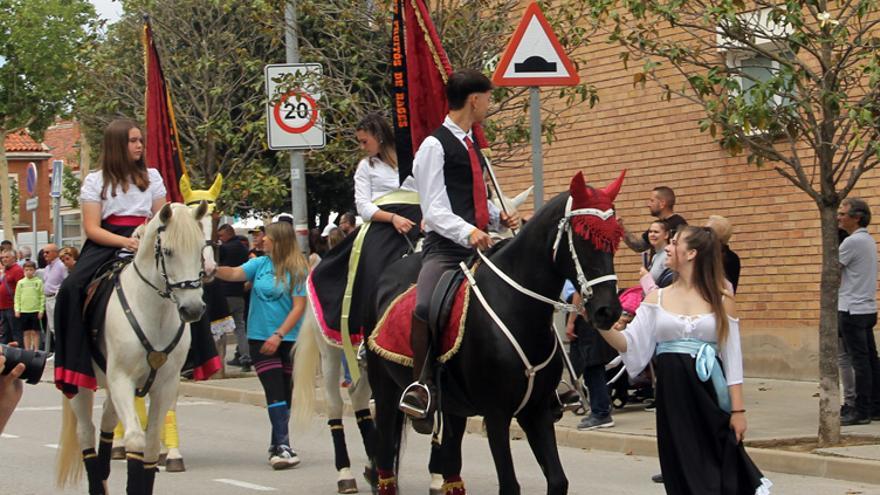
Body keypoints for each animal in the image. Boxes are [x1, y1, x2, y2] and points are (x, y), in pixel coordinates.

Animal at [56, 202, 211, 495]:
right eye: (168, 251)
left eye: (200, 248)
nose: (193, 309)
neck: (154, 312)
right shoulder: (121, 379)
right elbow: (136, 440)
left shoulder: (166, 383)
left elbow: (149, 444)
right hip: (81, 384)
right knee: (86, 431)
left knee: (107, 419)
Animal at [292, 186, 532, 495]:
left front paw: (438, 475)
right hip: (332, 354)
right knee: (335, 404)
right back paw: (346, 474)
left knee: (359, 398)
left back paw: (373, 466)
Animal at [364, 171, 624, 495]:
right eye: (584, 235)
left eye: (614, 237)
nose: (607, 311)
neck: (516, 306)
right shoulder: (497, 414)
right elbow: (510, 485)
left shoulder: (537, 410)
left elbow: (558, 480)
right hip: (386, 391)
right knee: (385, 461)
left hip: (452, 409)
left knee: (450, 465)